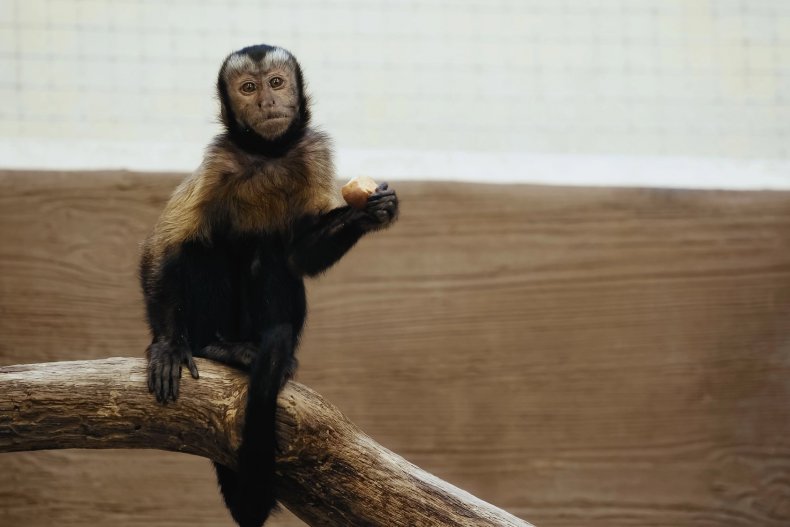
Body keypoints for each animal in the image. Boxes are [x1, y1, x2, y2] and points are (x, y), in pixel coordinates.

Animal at [139, 44, 398, 527]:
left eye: (276, 83)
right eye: (247, 88)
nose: (266, 102)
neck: (268, 154)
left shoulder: (313, 152)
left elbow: (297, 257)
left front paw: (368, 212)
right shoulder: (217, 160)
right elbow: (163, 249)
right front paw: (166, 345)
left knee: (270, 253)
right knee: (203, 248)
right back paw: (216, 347)